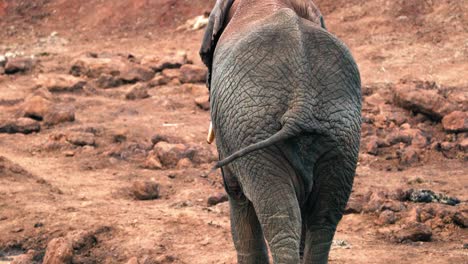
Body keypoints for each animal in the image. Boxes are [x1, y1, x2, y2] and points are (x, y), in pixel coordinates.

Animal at [199, 1, 360, 262]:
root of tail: (302, 101)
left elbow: (236, 193)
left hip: (254, 129)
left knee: (279, 216)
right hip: (341, 136)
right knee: (323, 218)